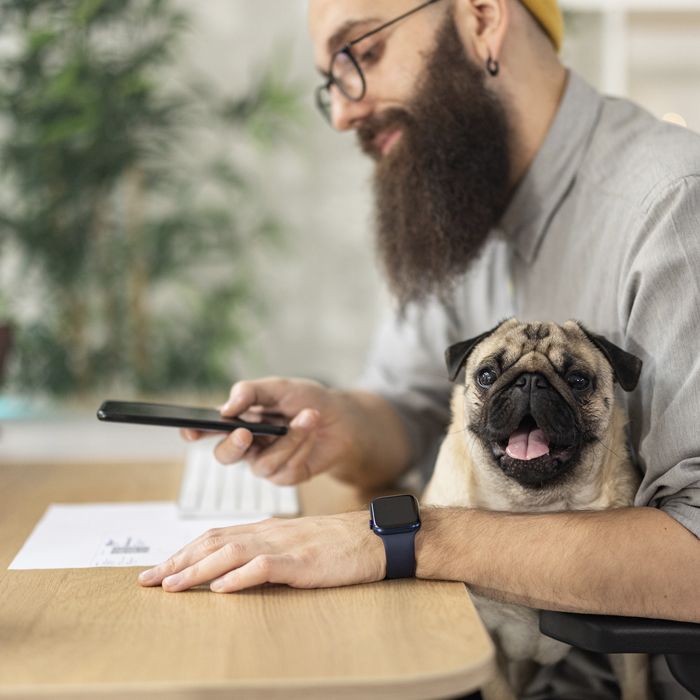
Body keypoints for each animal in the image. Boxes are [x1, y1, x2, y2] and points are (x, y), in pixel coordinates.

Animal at [422, 318, 652, 700]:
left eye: (578, 380)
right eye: (487, 375)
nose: (529, 380)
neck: (529, 506)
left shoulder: (628, 654)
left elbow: (636, 688)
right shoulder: (488, 647)